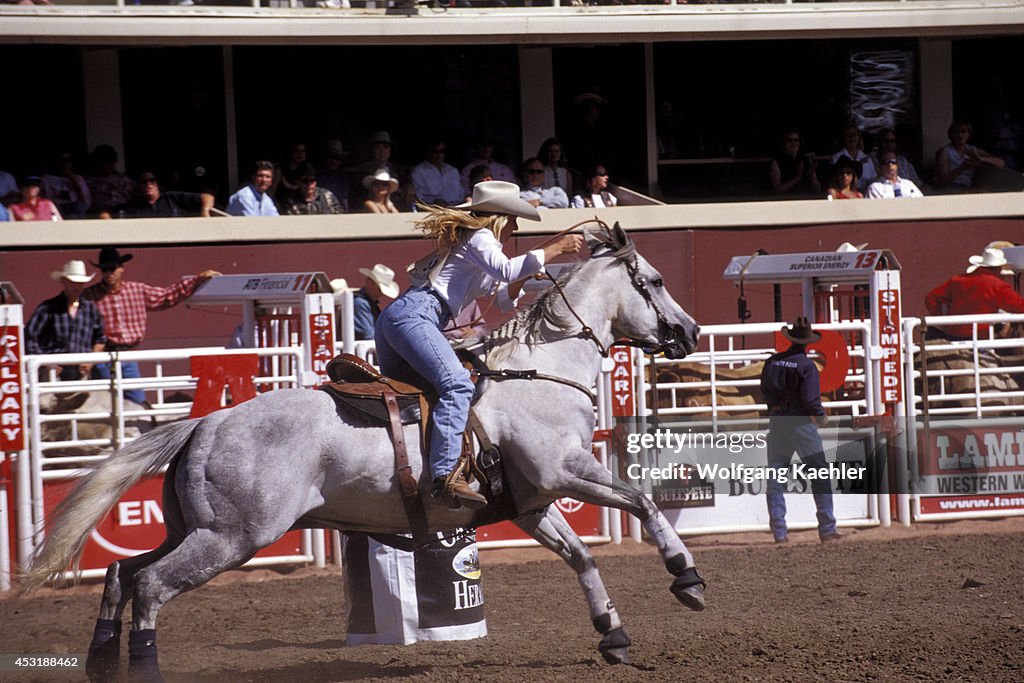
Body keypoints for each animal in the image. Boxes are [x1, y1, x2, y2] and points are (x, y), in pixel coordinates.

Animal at [25, 223, 712, 679]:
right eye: (653, 281)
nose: (690, 331)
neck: (540, 371)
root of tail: (205, 423)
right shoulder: (567, 471)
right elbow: (644, 502)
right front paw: (687, 578)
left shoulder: (532, 503)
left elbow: (582, 558)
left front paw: (613, 634)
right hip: (232, 537)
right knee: (149, 586)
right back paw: (141, 668)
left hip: (193, 528)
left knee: (121, 574)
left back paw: (101, 662)